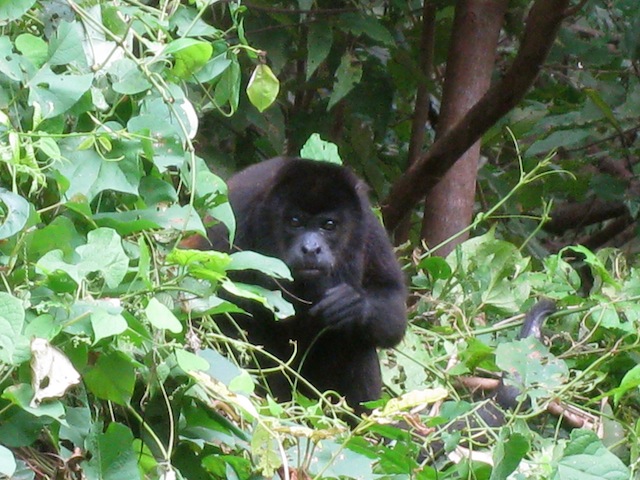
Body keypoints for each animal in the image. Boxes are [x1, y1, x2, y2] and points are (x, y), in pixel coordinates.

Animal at [195, 158, 408, 412]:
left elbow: (393, 307)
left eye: (329, 225)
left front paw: (351, 305)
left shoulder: (369, 226)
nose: (311, 248)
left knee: (354, 339)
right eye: (295, 221)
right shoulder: (235, 214)